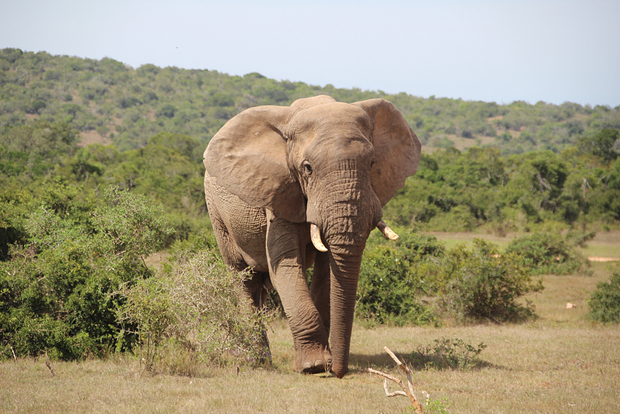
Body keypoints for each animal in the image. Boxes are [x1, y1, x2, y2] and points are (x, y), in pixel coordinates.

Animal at [203, 94, 422, 378]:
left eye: (373, 163)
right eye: (307, 168)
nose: (339, 371)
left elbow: (327, 270)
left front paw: (321, 362)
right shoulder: (279, 191)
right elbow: (285, 265)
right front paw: (315, 366)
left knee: (260, 284)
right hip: (217, 212)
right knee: (243, 277)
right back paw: (254, 360)